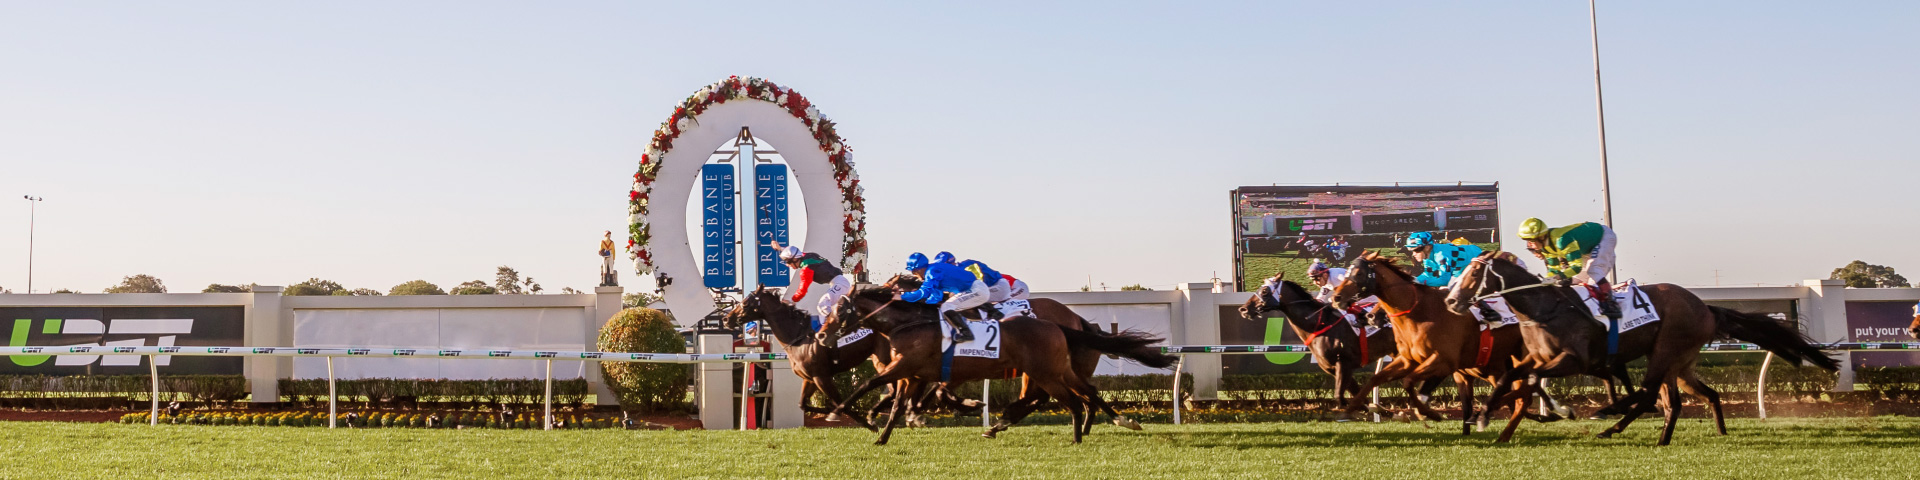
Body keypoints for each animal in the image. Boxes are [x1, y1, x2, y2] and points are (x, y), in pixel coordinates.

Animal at [821, 282, 1175, 443]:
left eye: (839, 310)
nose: (822, 336)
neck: (912, 322)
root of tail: (1067, 322)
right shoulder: (915, 375)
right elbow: (900, 401)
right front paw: (884, 428)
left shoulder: (909, 370)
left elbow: (874, 386)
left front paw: (844, 413)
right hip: (1054, 370)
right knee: (1084, 392)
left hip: (1046, 373)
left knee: (1068, 396)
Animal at [1228, 276, 1443, 418]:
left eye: (1265, 291)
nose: (1244, 309)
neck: (1318, 325)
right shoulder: (1333, 368)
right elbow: (1354, 392)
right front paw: (1378, 409)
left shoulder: (1344, 363)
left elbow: (1340, 396)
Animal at [1328, 251, 1536, 435]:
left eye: (1359, 273)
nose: (1336, 297)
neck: (1419, 312)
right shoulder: (1408, 360)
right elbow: (1375, 379)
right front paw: (1351, 408)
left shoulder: (1443, 361)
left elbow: (1409, 381)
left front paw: (1430, 413)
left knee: (1521, 396)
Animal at [1443, 253, 1835, 443]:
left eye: (1474, 273)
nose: (1450, 301)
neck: (1543, 308)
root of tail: (1705, 307)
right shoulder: (1535, 356)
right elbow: (1512, 376)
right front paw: (1483, 414)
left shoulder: (1574, 359)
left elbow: (1533, 381)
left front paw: (1558, 410)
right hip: (1681, 363)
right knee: (1682, 398)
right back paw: (1667, 435)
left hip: (1666, 351)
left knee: (1649, 394)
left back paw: (1610, 417)